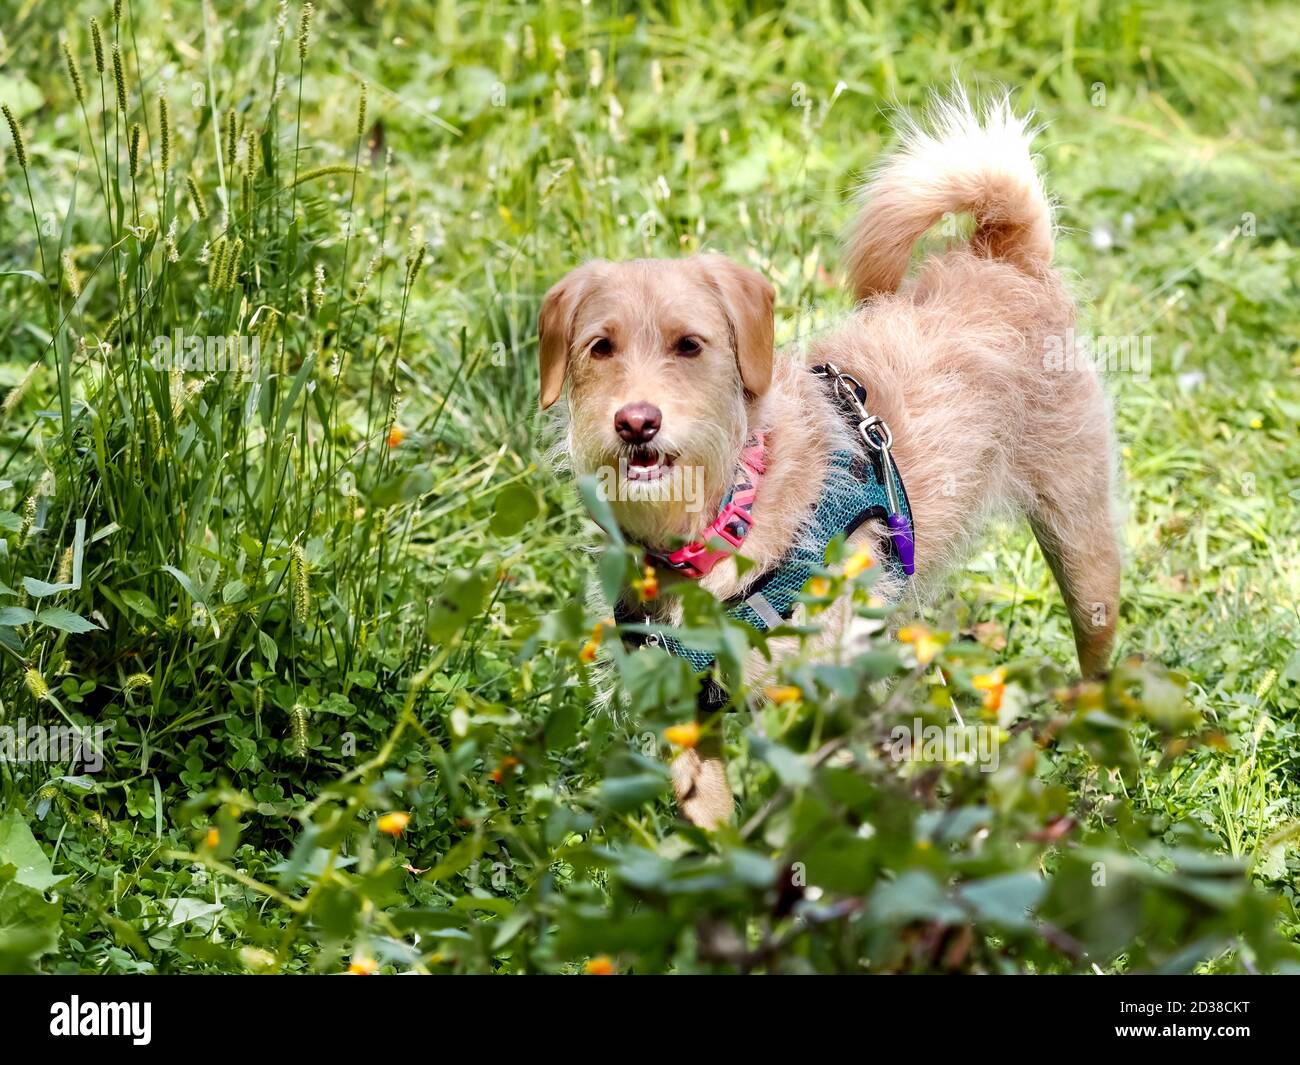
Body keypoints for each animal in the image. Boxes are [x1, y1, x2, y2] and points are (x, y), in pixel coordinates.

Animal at [535, 95, 1118, 827]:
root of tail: (1002, 255)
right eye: (600, 347)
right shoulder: (691, 721)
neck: (727, 515)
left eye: (689, 345)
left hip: (1085, 557)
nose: (636, 420)